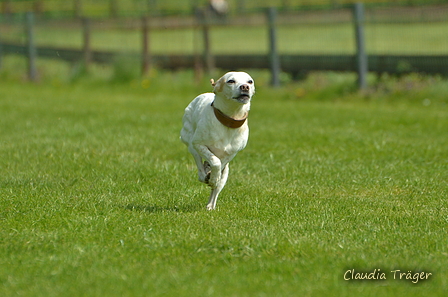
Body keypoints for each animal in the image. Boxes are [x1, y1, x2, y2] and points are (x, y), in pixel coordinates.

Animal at [181, 71, 256, 210]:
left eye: (250, 81)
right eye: (231, 81)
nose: (245, 87)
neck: (230, 120)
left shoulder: (232, 153)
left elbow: (220, 166)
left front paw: (214, 178)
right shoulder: (198, 144)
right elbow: (215, 161)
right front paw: (211, 175)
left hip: (226, 172)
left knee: (217, 187)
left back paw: (211, 204)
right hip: (190, 142)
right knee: (199, 165)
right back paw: (204, 174)